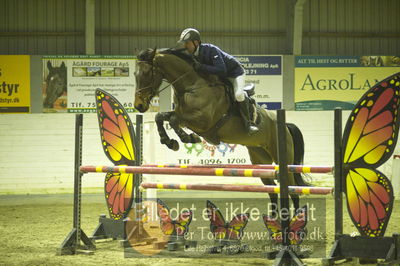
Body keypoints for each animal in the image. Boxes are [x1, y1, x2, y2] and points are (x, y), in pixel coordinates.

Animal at [134, 48, 306, 216]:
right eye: (135, 74)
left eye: (147, 73)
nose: (138, 106)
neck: (192, 86)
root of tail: (284, 124)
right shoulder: (185, 116)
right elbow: (161, 117)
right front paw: (169, 141)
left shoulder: (203, 121)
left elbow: (174, 120)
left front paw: (187, 138)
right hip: (260, 159)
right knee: (272, 190)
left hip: (283, 158)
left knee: (293, 190)